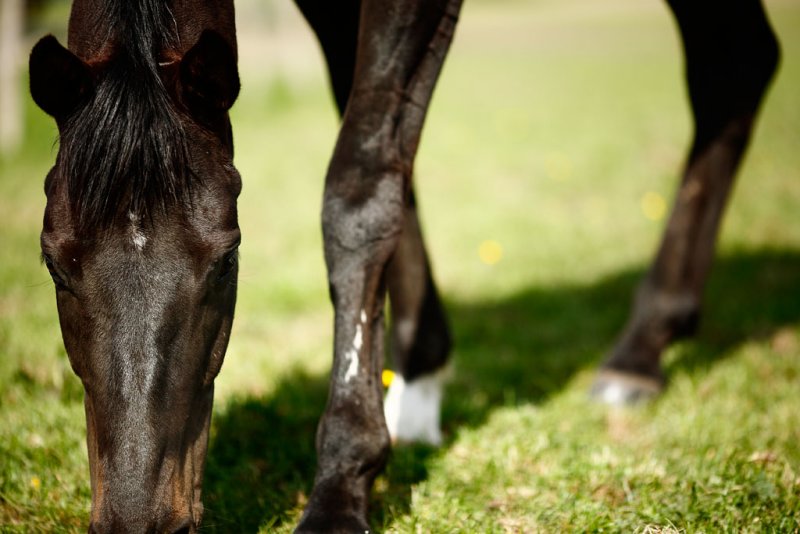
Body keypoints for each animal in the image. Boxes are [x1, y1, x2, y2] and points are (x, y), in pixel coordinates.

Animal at [29, 0, 776, 532]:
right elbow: (391, 159)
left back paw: (638, 354)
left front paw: (340, 490)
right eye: (53, 264)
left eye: (226, 259)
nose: (137, 521)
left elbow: (359, 186)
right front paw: (420, 375)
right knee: (739, 62)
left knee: (732, 67)